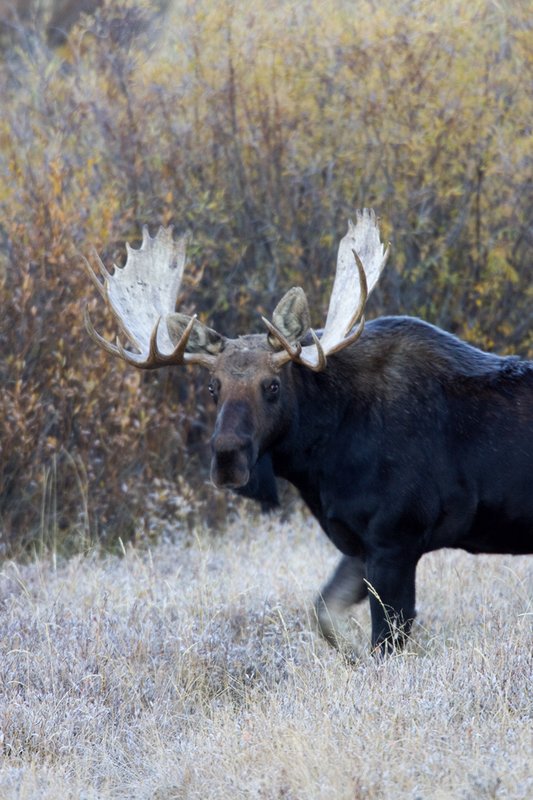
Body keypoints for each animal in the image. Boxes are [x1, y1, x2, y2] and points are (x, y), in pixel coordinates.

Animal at [84, 209, 533, 653]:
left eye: (273, 385)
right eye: (213, 387)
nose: (227, 456)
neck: (321, 464)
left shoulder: (396, 538)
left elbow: (386, 640)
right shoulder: (358, 543)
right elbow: (325, 615)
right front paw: (348, 652)